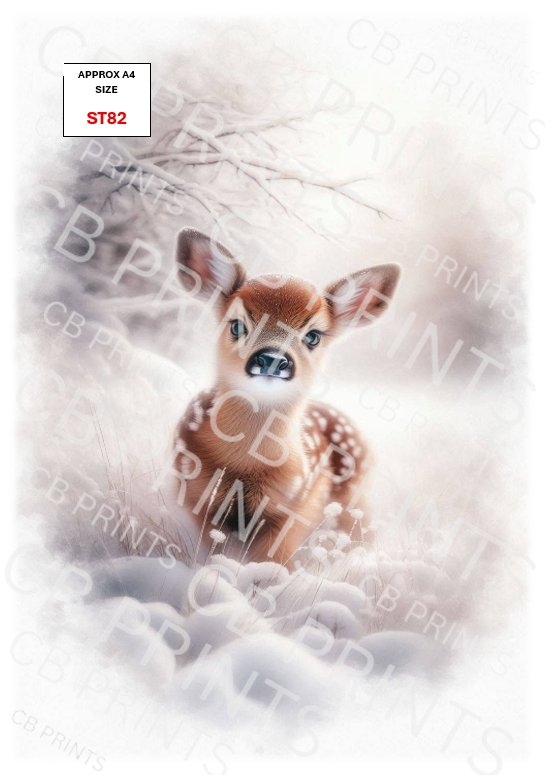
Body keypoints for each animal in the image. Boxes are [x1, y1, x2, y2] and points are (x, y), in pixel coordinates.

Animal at [172, 228, 401, 567]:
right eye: (237, 325)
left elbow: (272, 563)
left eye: (313, 336)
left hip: (352, 498)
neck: (246, 465)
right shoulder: (193, 493)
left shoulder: (294, 508)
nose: (272, 358)